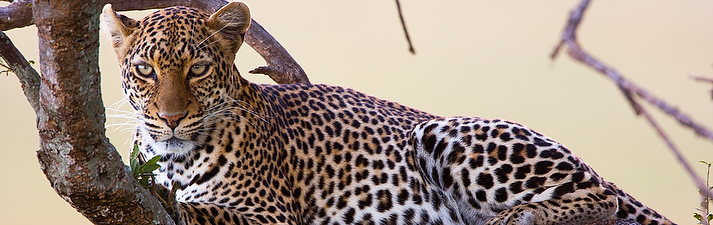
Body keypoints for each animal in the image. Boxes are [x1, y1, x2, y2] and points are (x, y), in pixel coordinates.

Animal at [100, 2, 672, 225]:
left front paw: (169, 199)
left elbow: (203, 210)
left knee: (599, 200)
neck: (175, 158)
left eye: (197, 69)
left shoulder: (271, 215)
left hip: (446, 133)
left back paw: (514, 217)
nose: (171, 118)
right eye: (146, 70)